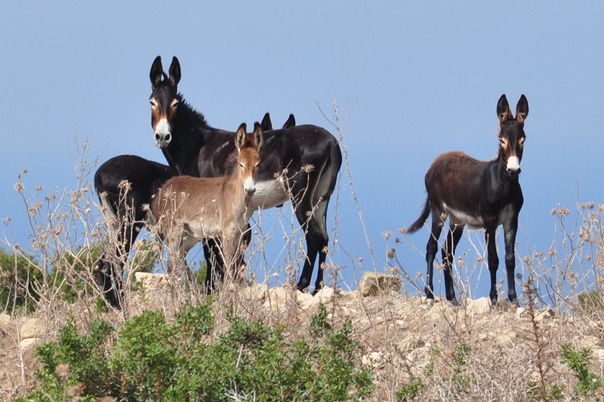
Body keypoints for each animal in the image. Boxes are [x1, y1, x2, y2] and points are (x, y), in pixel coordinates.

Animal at [150, 122, 262, 282]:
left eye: (258, 164)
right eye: (240, 164)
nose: (250, 189)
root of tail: (162, 190)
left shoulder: (239, 234)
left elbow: (235, 265)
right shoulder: (227, 232)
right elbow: (228, 265)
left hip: (189, 236)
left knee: (179, 259)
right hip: (174, 230)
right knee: (171, 264)